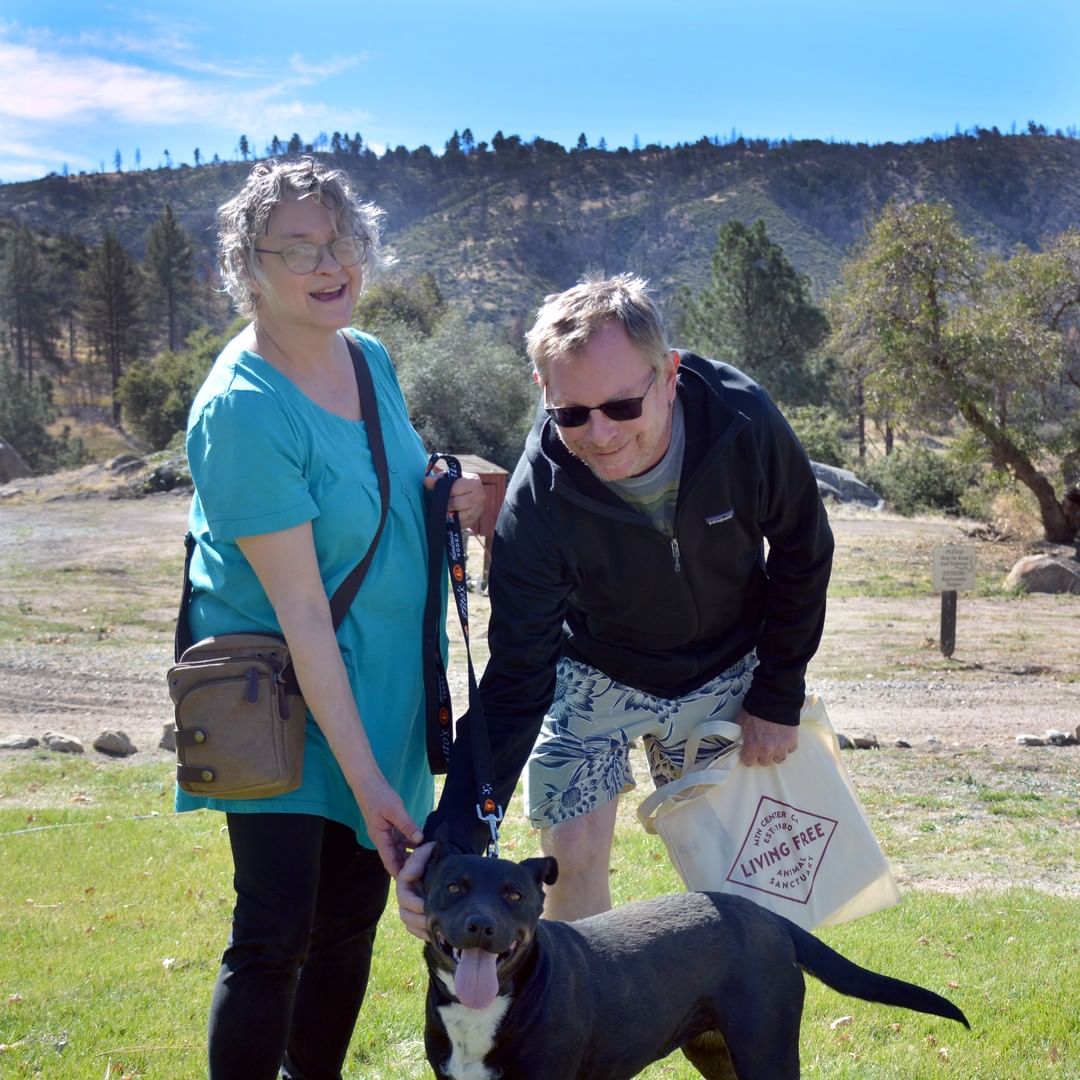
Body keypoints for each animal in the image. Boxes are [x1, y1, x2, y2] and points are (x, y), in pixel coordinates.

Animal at [423, 851, 972, 1080]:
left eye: (514, 895)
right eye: (453, 886)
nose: (480, 926)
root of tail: (768, 916)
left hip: (765, 1048)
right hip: (717, 1051)